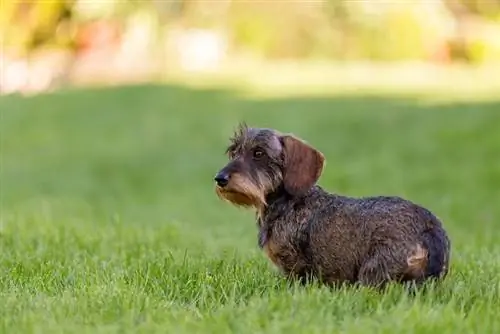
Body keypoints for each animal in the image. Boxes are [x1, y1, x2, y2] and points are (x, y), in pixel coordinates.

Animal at [213, 124, 452, 288]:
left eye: (258, 153)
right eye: (234, 152)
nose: (220, 178)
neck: (287, 204)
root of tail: (429, 228)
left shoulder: (295, 268)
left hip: (373, 270)